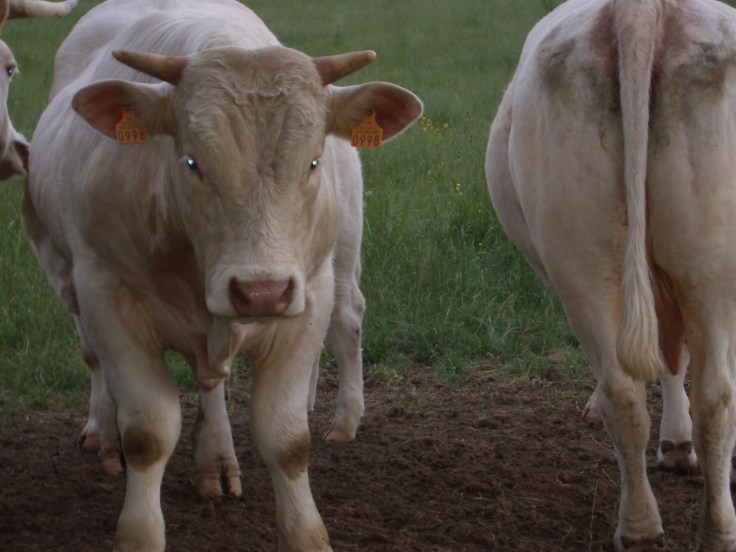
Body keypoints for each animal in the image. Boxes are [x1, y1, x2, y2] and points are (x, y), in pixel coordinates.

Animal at [21, 0, 422, 549]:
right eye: (193, 162)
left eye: (313, 161)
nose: (261, 292)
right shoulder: (107, 297)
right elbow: (148, 432)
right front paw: (139, 532)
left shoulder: (310, 296)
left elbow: (286, 438)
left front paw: (306, 532)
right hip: (60, 269)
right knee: (95, 359)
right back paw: (107, 433)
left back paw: (224, 455)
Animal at [486, 0, 736, 549]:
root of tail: (642, 10)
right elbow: (672, 356)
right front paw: (678, 445)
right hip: (702, 269)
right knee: (705, 393)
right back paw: (694, 527)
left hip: (590, 259)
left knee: (639, 391)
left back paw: (659, 528)